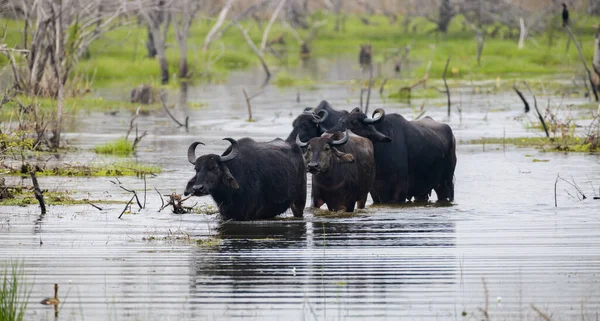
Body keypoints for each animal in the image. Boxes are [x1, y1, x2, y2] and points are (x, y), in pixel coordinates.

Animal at [326, 107, 458, 202]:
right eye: (340, 120)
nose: (327, 134)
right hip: (422, 190)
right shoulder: (375, 192)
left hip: (446, 184)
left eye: (353, 122)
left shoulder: (399, 191)